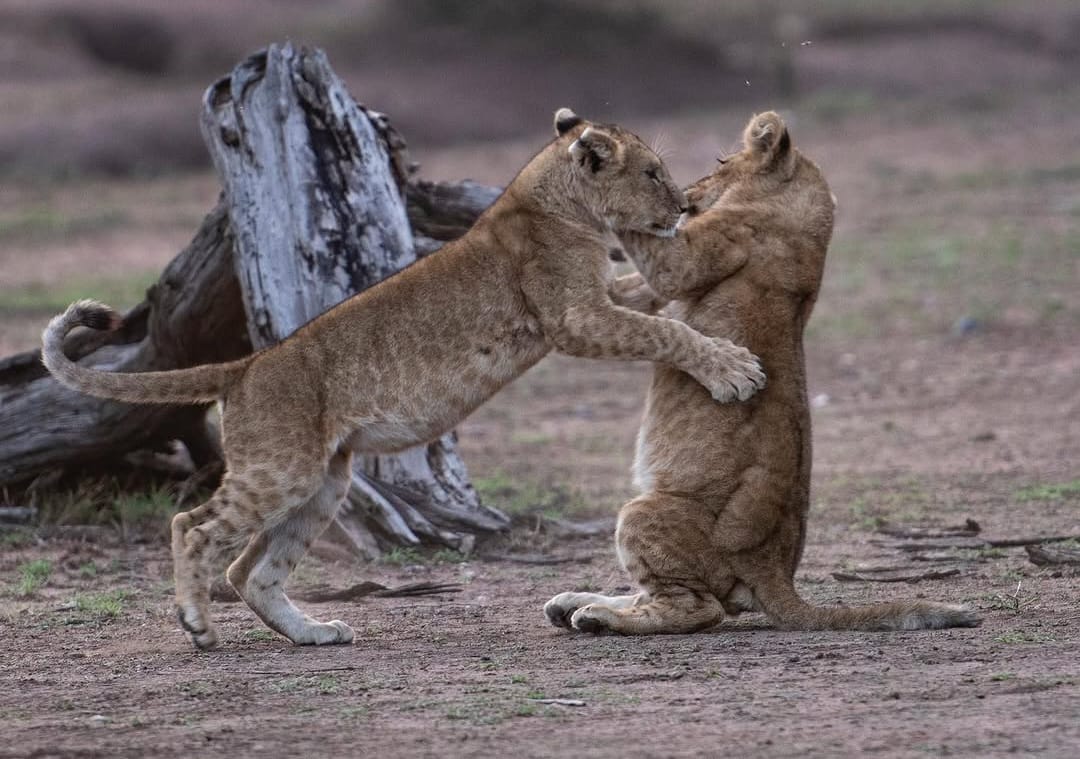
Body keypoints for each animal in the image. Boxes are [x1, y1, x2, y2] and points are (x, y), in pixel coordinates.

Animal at [42, 108, 766, 650]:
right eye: (651, 172)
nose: (683, 206)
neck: (555, 197)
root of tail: (247, 364)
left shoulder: (597, 300)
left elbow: (647, 298)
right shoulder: (575, 319)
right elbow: (666, 331)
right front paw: (734, 370)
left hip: (321, 482)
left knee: (251, 568)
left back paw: (314, 632)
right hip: (280, 469)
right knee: (191, 527)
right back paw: (196, 624)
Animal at [544, 112, 980, 634]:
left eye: (720, 162)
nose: (686, 196)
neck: (805, 219)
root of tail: (774, 569)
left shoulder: (701, 254)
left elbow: (658, 254)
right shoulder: (657, 287)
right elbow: (619, 291)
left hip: (647, 510)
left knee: (697, 609)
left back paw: (599, 617)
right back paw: (574, 601)